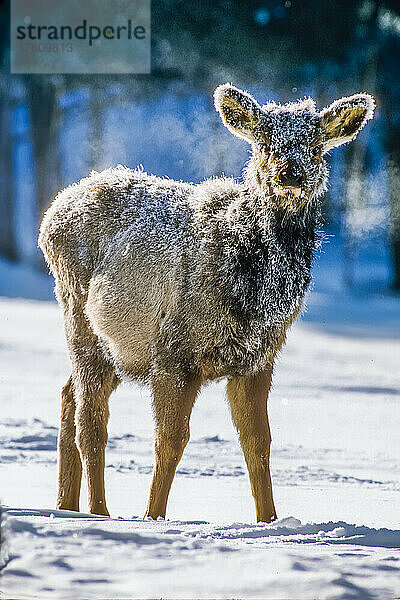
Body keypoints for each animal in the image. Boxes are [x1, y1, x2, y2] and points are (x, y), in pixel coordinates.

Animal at [39, 83, 374, 520]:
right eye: (264, 141)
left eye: (316, 145)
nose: (291, 172)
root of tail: (50, 216)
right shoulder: (173, 350)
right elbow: (171, 440)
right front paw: (152, 517)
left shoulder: (257, 358)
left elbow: (258, 442)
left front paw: (269, 520)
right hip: (80, 314)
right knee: (91, 422)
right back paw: (99, 512)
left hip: (120, 349)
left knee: (68, 394)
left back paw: (66, 506)